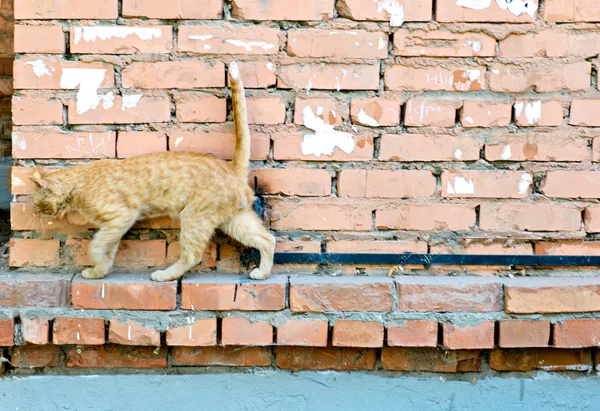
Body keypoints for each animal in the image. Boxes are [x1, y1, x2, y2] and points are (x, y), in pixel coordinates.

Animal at [30, 62, 276, 284]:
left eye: (37, 203)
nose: (35, 213)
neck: (79, 184)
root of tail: (232, 167)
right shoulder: (114, 224)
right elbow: (108, 249)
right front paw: (99, 271)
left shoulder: (122, 216)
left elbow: (97, 244)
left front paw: (95, 263)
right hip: (235, 220)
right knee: (268, 239)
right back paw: (262, 273)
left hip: (194, 217)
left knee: (192, 255)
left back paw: (165, 275)